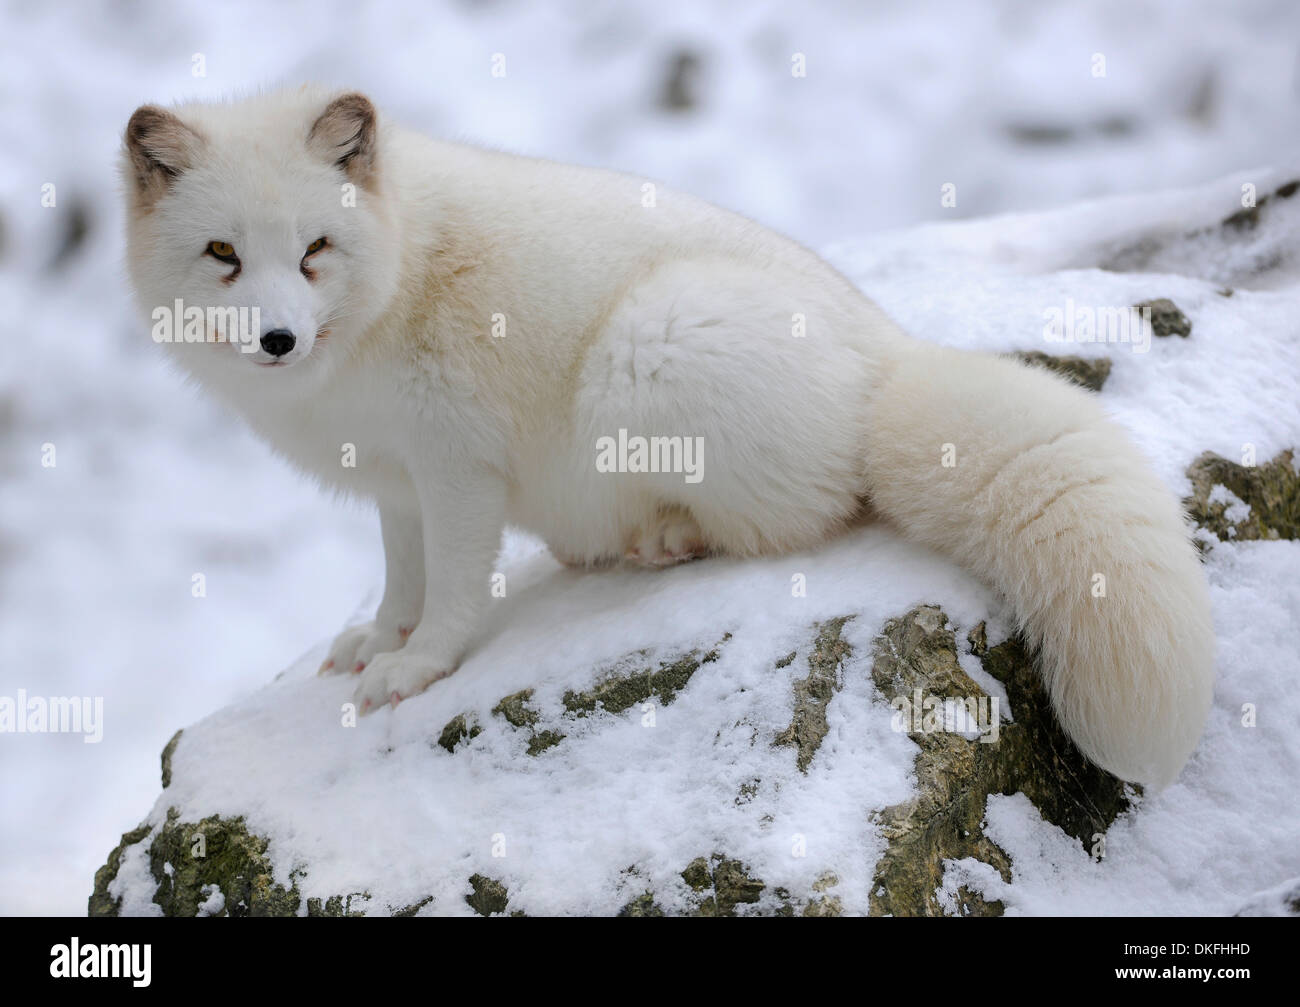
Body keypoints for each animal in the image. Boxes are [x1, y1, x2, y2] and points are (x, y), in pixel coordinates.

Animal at [124, 88, 1216, 790]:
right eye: (222, 254)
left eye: (315, 248)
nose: (277, 338)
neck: (393, 280)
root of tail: (885, 353)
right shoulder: (394, 475)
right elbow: (400, 573)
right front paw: (378, 638)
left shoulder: (455, 461)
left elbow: (454, 584)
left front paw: (418, 664)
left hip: (647, 352)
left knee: (803, 519)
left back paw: (664, 539)